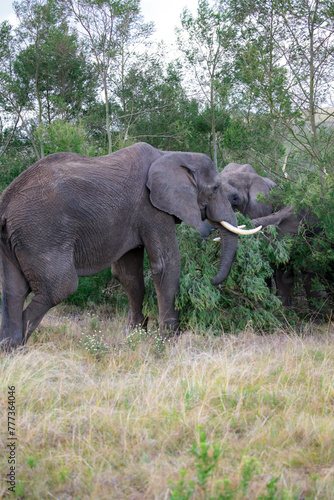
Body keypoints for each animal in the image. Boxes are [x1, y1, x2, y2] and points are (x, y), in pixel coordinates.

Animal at [0, 143, 260, 350]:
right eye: (215, 188)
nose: (211, 281)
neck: (170, 154)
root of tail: (6, 202)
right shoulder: (151, 208)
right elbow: (165, 266)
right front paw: (169, 340)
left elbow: (128, 276)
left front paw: (134, 335)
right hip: (40, 233)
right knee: (59, 287)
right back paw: (18, 345)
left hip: (14, 238)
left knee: (14, 290)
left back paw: (9, 348)